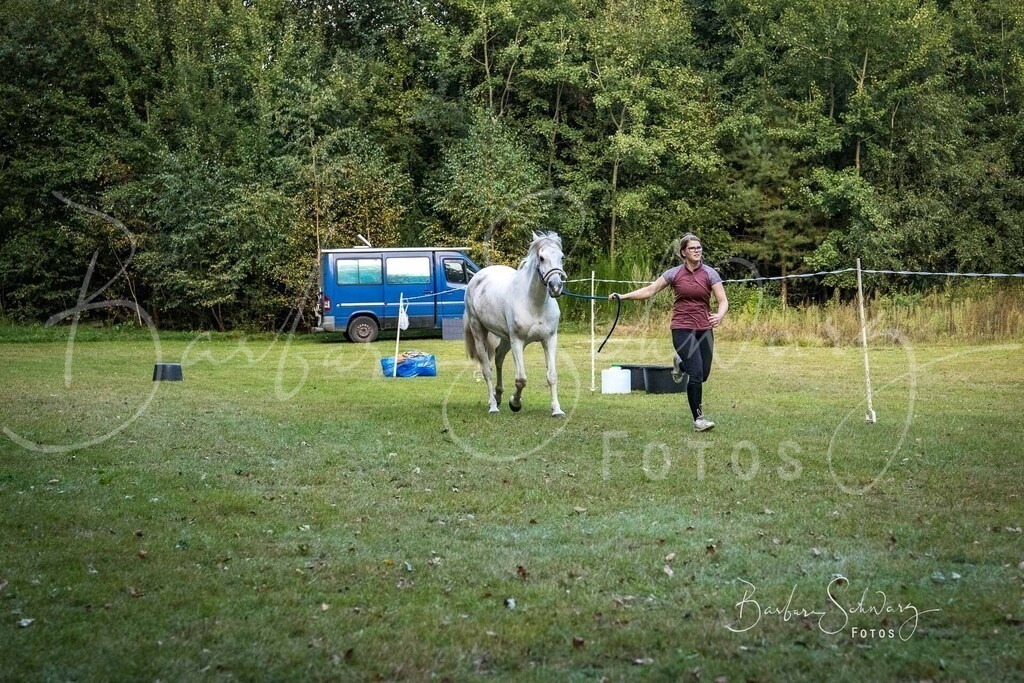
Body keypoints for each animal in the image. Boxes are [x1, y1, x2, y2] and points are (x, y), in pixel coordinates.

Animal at [463, 232, 566, 417]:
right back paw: (493, 406)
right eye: (541, 258)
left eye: (562, 257)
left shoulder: (549, 340)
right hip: (480, 332)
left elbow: (552, 376)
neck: (535, 304)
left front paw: (557, 410)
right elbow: (521, 379)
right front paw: (515, 403)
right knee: (487, 369)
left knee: (498, 358)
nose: (555, 286)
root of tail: (477, 277)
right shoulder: (517, 341)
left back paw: (497, 396)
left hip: (506, 339)